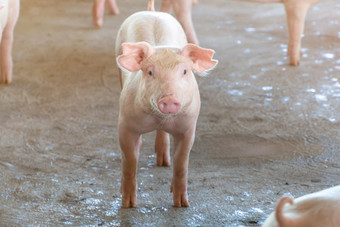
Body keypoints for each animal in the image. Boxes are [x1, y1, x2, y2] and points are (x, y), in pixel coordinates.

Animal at [113, 0, 216, 207]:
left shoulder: (188, 127)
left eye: (184, 71)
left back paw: (163, 162)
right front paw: (128, 204)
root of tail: (152, 12)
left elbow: (181, 162)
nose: (169, 99)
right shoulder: (125, 123)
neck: (159, 118)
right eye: (150, 72)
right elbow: (130, 160)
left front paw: (182, 204)